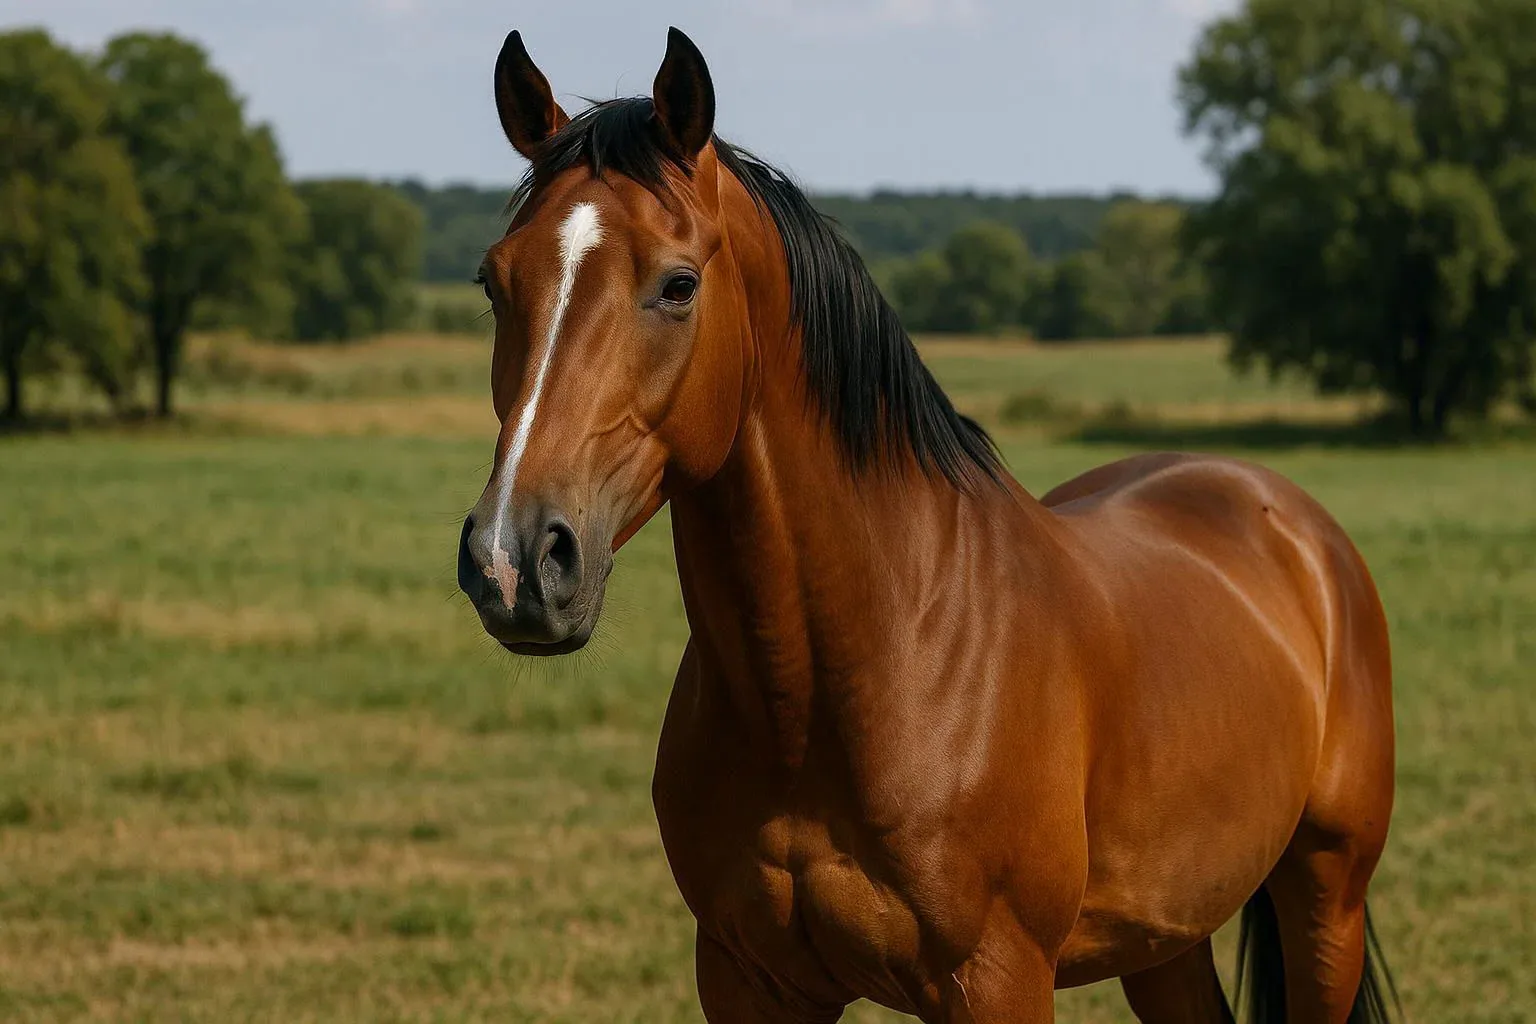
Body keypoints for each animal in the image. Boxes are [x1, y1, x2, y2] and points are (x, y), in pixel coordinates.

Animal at [455, 28, 1399, 1023]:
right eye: (493, 283)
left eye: (677, 286)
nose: (515, 561)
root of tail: (1284, 516)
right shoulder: (747, 977)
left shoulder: (997, 978)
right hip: (1165, 937)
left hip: (1325, 899)